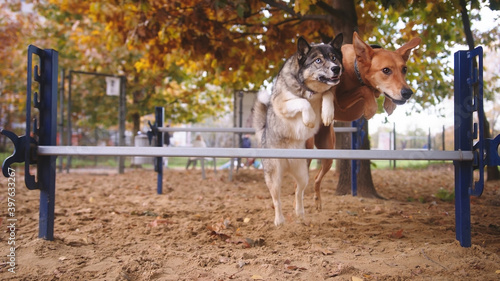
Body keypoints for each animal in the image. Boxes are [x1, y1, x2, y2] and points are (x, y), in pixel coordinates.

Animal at [308, 31, 422, 210]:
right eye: (386, 70)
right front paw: (371, 109)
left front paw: (388, 104)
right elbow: (364, 90)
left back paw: (318, 201)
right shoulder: (341, 102)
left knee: (316, 178)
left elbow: (371, 90)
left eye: (404, 69)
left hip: (328, 152)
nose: (407, 92)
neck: (356, 70)